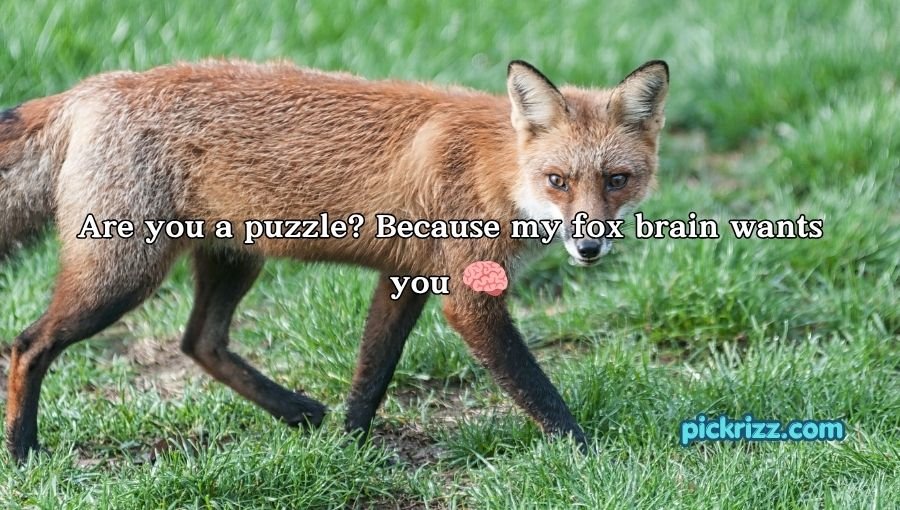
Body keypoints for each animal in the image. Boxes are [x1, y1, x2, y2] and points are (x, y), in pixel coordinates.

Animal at [0, 58, 668, 463]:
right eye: (558, 180)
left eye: (616, 180)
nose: (589, 246)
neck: (495, 168)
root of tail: (92, 88)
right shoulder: (468, 298)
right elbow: (537, 391)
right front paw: (591, 456)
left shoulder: (406, 276)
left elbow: (372, 373)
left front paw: (349, 448)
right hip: (121, 278)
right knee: (28, 345)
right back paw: (22, 450)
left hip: (233, 261)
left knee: (199, 342)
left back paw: (297, 412)